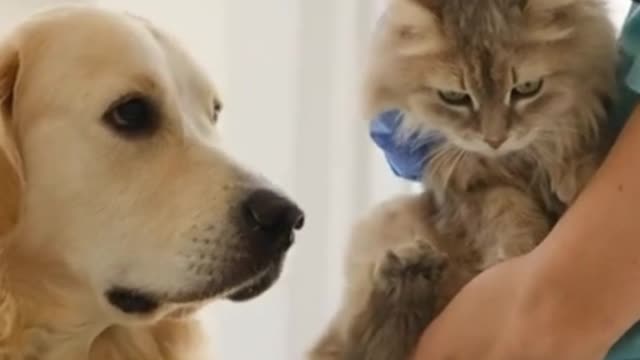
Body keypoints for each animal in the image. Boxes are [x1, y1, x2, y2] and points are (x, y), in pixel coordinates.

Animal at [312, 0, 620, 358]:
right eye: (454, 97)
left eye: (527, 89)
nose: (495, 139)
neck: (517, 163)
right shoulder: (467, 190)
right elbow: (507, 211)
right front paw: (518, 249)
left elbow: (574, 150)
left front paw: (569, 174)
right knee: (361, 338)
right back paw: (406, 274)